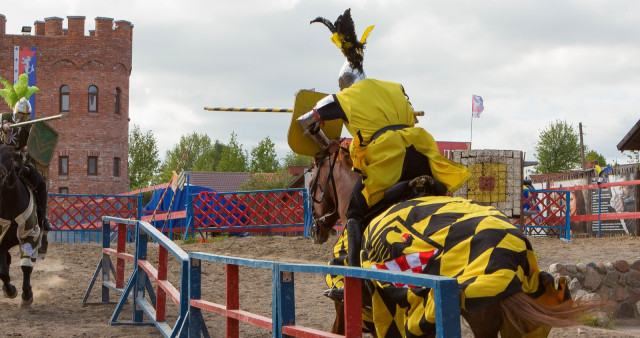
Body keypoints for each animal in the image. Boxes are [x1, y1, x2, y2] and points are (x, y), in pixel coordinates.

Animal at [0, 143, 42, 306]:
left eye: (9, 156)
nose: (0, 176)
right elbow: (3, 272)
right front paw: (10, 290)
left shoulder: (31, 234)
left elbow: (26, 266)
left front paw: (27, 294)